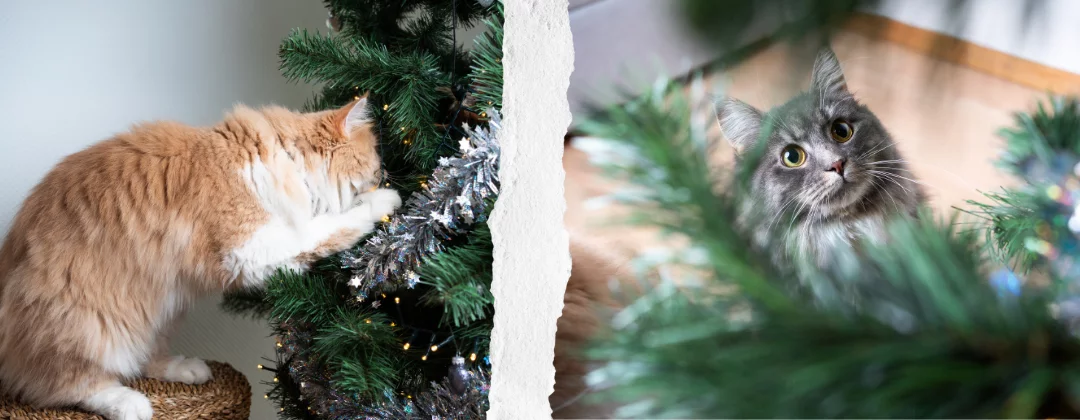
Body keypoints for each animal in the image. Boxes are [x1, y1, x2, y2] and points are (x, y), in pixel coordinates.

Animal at [0, 96, 401, 416]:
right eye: (376, 166)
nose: (386, 173)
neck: (274, 159)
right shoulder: (254, 247)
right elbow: (334, 224)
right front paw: (386, 201)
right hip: (87, 325)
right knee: (65, 386)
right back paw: (129, 403)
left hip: (162, 309)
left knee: (144, 359)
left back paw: (188, 369)